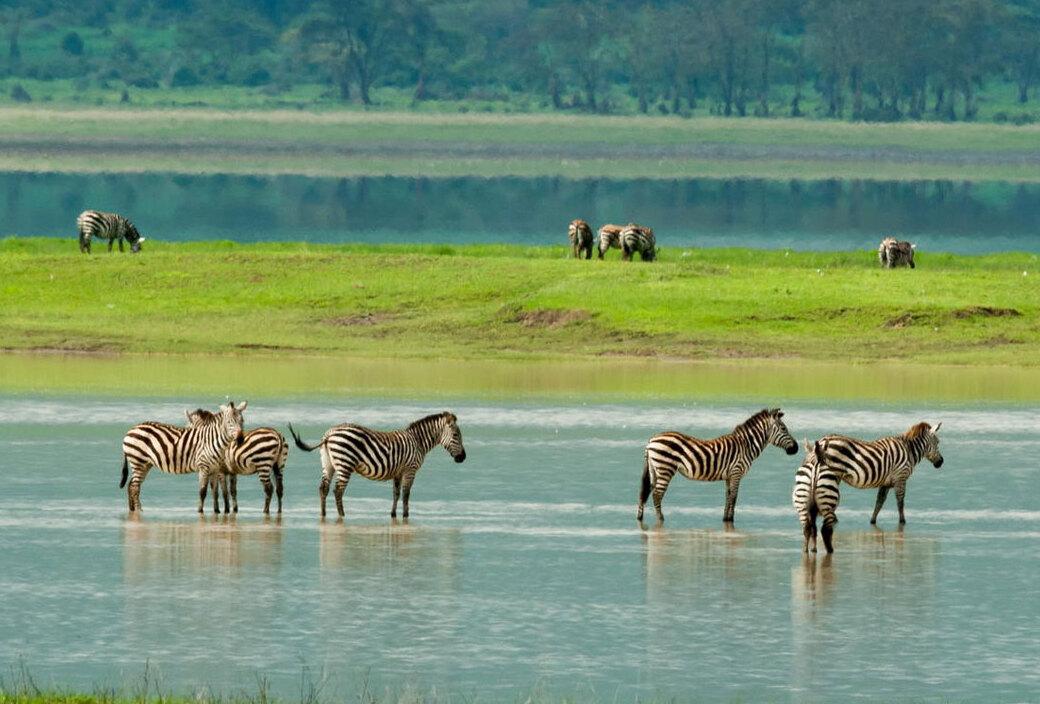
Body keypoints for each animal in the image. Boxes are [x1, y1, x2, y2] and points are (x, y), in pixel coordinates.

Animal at [119, 401, 247, 511]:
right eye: (229, 422)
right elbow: (203, 492)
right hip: (138, 461)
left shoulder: (215, 469)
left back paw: (132, 509)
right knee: (135, 487)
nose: (241, 440)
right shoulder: (203, 467)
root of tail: (132, 429)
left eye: (242, 420)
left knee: (131, 485)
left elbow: (215, 492)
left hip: (145, 464)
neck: (212, 440)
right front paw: (200, 511)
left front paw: (217, 512)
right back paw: (139, 511)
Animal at [284, 409, 463, 519]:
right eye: (456, 435)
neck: (417, 441)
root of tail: (329, 434)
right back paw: (342, 515)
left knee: (323, 488)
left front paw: (393, 514)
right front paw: (406, 516)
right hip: (345, 463)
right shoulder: (410, 470)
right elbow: (406, 494)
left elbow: (396, 493)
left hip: (328, 464)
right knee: (338, 491)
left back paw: (323, 514)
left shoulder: (398, 472)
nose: (462, 458)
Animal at [632, 405, 794, 522]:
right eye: (784, 429)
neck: (746, 445)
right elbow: (734, 497)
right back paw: (661, 519)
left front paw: (725, 518)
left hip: (654, 469)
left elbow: (728, 496)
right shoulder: (736, 472)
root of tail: (651, 440)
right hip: (665, 468)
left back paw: (640, 518)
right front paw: (730, 520)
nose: (796, 449)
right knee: (657, 494)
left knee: (644, 493)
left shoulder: (729, 476)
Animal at [815, 420, 948, 524]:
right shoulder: (900, 477)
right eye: (938, 442)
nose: (941, 462)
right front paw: (902, 522)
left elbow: (879, 502)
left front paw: (872, 521)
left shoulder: (886, 482)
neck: (909, 451)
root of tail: (824, 440)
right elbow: (900, 502)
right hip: (830, 475)